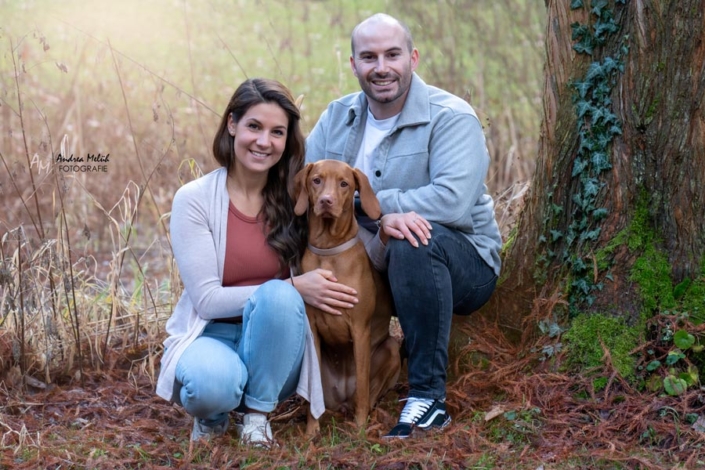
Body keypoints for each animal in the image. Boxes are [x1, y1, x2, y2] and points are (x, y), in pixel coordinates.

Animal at [294, 160, 401, 435]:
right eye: (317, 180)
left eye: (344, 183)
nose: (326, 201)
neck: (329, 250)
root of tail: (341, 400)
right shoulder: (312, 329)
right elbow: (312, 393)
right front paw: (311, 431)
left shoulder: (360, 329)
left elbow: (362, 386)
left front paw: (360, 427)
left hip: (392, 349)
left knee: (368, 393)